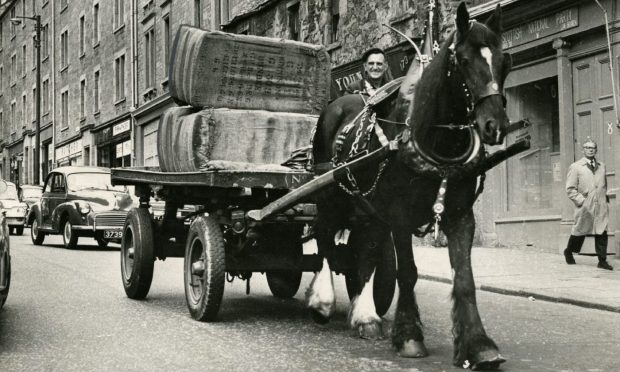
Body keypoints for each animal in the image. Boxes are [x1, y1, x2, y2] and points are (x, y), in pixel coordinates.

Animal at [308, 2, 512, 370]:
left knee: (367, 249)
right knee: (325, 238)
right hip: (331, 194)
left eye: (505, 62)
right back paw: (323, 300)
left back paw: (364, 315)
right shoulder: (400, 215)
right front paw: (409, 336)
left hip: (368, 208)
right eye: (463, 60)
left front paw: (478, 346)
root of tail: (337, 104)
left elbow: (465, 279)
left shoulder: (460, 214)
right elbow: (408, 273)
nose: (495, 126)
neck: (434, 139)